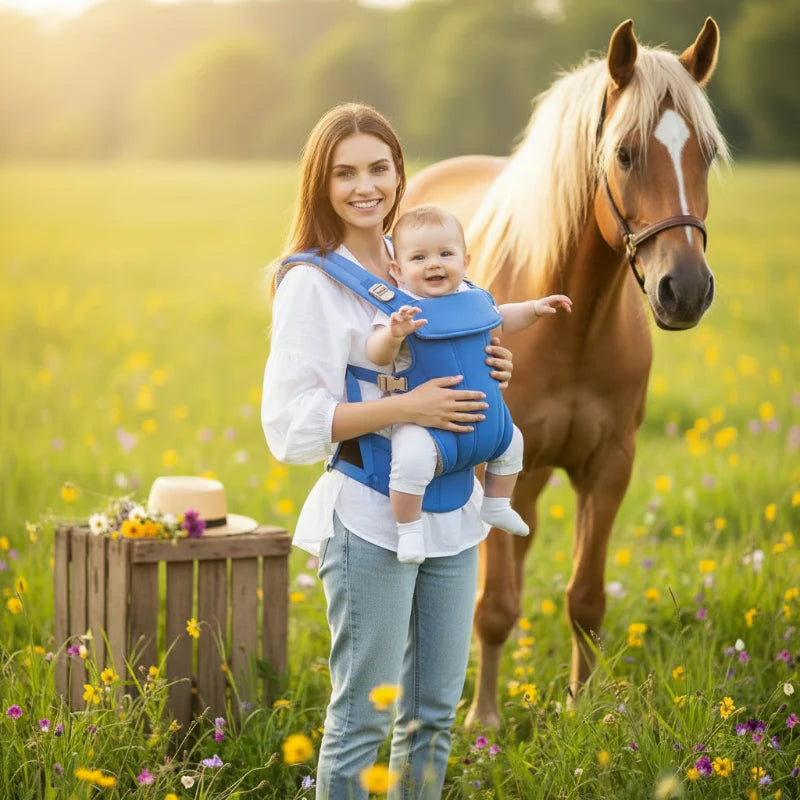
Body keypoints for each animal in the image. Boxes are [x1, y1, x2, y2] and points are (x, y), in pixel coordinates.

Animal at [402, 18, 729, 728]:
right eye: (626, 154)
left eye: (707, 154)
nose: (686, 291)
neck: (572, 327)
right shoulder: (497, 462)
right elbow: (494, 605)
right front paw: (484, 722)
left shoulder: (608, 466)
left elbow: (585, 599)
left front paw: (583, 712)